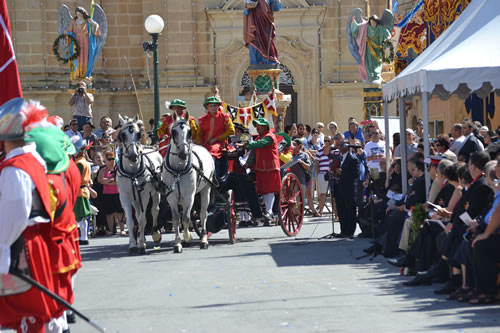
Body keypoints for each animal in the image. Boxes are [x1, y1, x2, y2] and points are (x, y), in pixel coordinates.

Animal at [115, 114, 163, 254]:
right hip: (135, 198)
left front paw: (141, 244)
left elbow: (142, 219)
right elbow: (131, 221)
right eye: (122, 135)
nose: (133, 156)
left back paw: (155, 233)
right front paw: (132, 244)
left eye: (138, 134)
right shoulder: (124, 196)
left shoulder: (144, 195)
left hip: (155, 193)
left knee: (154, 210)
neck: (132, 172)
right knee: (136, 214)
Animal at [161, 111, 214, 252]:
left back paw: (204, 240)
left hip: (206, 190)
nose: (183, 154)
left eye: (189, 132)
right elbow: (175, 219)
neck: (178, 169)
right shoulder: (172, 196)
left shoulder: (189, 196)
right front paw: (178, 244)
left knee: (203, 214)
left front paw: (186, 237)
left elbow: (185, 218)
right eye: (174, 132)